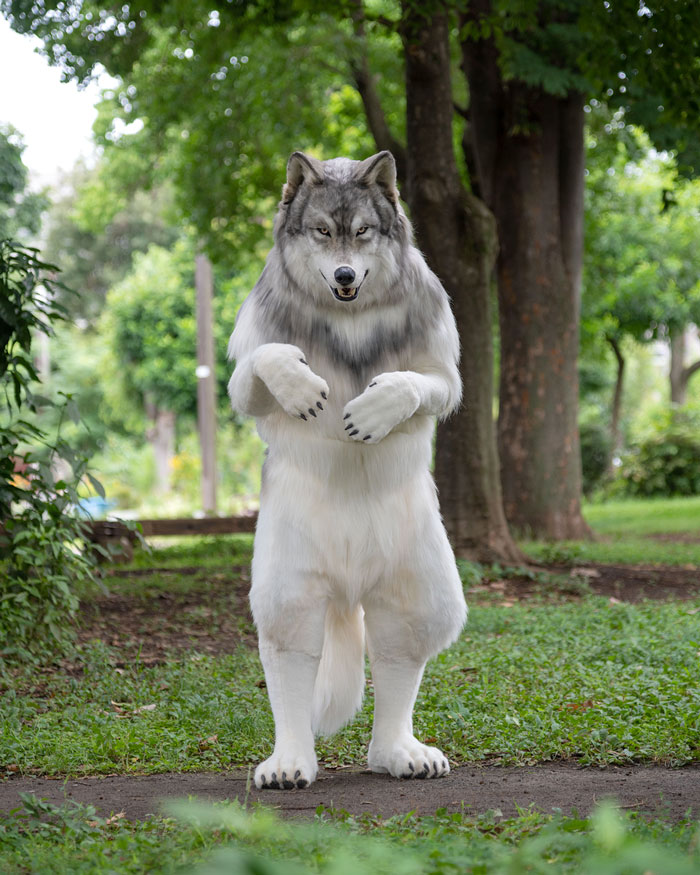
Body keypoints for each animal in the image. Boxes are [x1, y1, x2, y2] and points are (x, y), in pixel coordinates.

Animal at [228, 150, 467, 790]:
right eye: (321, 232)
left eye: (362, 233)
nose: (342, 276)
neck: (350, 316)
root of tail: (350, 581)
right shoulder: (249, 365)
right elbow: (261, 364)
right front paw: (298, 383)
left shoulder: (439, 366)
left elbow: (421, 383)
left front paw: (378, 406)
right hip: (291, 573)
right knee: (291, 648)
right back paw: (291, 761)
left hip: (415, 570)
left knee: (399, 646)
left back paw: (397, 753)